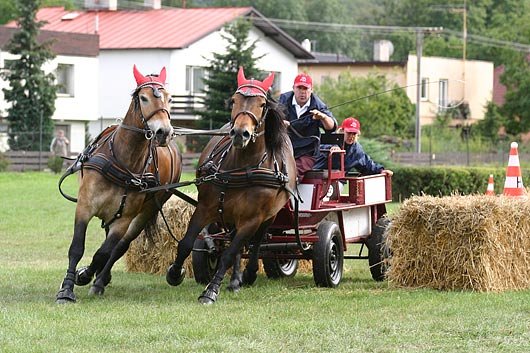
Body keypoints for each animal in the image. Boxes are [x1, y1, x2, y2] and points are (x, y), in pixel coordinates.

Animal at [54, 65, 180, 302]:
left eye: (169, 98)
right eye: (144, 98)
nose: (164, 132)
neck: (122, 161)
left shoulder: (124, 219)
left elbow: (104, 252)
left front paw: (86, 275)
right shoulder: (84, 206)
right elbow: (76, 247)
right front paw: (66, 289)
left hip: (145, 211)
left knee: (119, 247)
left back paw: (100, 280)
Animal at [165, 66, 296, 302]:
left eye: (262, 104)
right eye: (234, 100)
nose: (240, 133)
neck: (241, 168)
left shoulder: (252, 219)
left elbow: (229, 253)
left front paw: (210, 291)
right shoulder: (205, 207)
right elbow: (187, 243)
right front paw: (175, 272)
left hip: (268, 216)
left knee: (254, 243)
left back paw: (249, 273)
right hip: (231, 215)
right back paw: (235, 280)